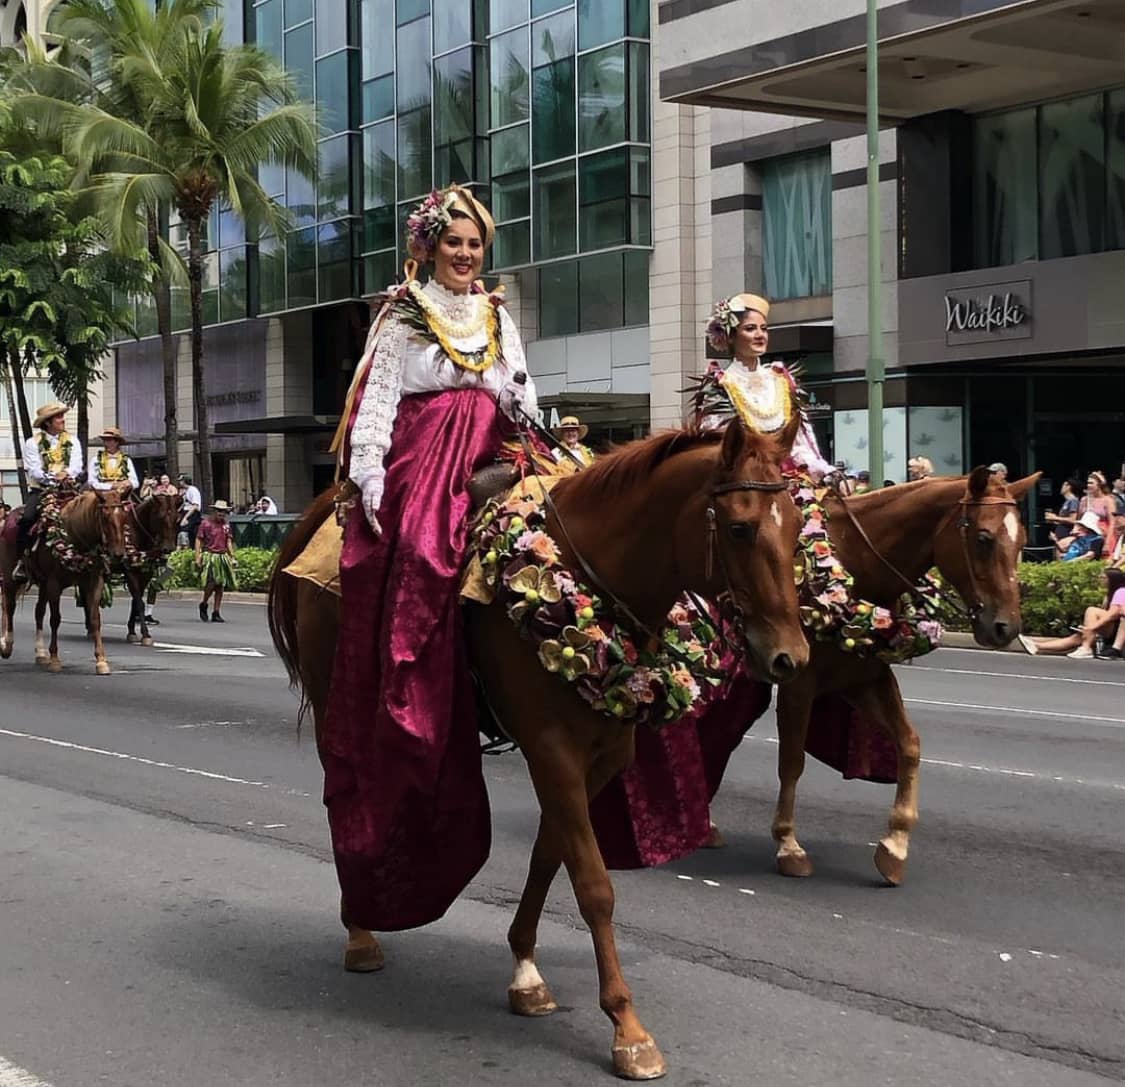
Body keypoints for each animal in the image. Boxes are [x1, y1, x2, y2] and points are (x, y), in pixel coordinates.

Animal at [0, 490, 128, 675]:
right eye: (105, 516)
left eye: (124, 516)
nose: (118, 554)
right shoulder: (55, 584)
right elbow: (55, 619)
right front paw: (55, 660)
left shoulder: (94, 582)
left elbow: (95, 619)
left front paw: (101, 661)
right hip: (10, 577)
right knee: (9, 607)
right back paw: (7, 646)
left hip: (43, 584)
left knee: (38, 612)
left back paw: (40, 653)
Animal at [267, 414, 814, 1080]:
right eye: (739, 527)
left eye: (797, 526)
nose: (790, 657)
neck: (587, 574)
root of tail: (323, 509)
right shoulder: (551, 751)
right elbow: (595, 886)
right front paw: (628, 1030)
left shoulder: (600, 756)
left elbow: (550, 857)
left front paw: (526, 973)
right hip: (334, 705)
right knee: (344, 799)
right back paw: (361, 932)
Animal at [769, 465, 1039, 886]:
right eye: (983, 538)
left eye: (1023, 540)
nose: (1005, 628)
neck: (852, 562)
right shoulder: (798, 683)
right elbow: (792, 760)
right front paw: (788, 844)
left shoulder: (864, 679)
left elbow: (909, 745)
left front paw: (895, 844)